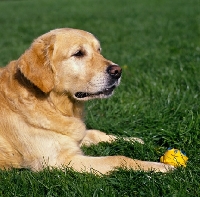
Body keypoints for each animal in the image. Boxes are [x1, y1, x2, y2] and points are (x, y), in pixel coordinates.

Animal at [0, 28, 173, 174]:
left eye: (99, 50)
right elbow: (117, 158)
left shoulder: (76, 136)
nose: (117, 71)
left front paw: (134, 140)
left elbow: (96, 133)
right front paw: (160, 166)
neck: (53, 104)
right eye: (78, 53)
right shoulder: (58, 161)